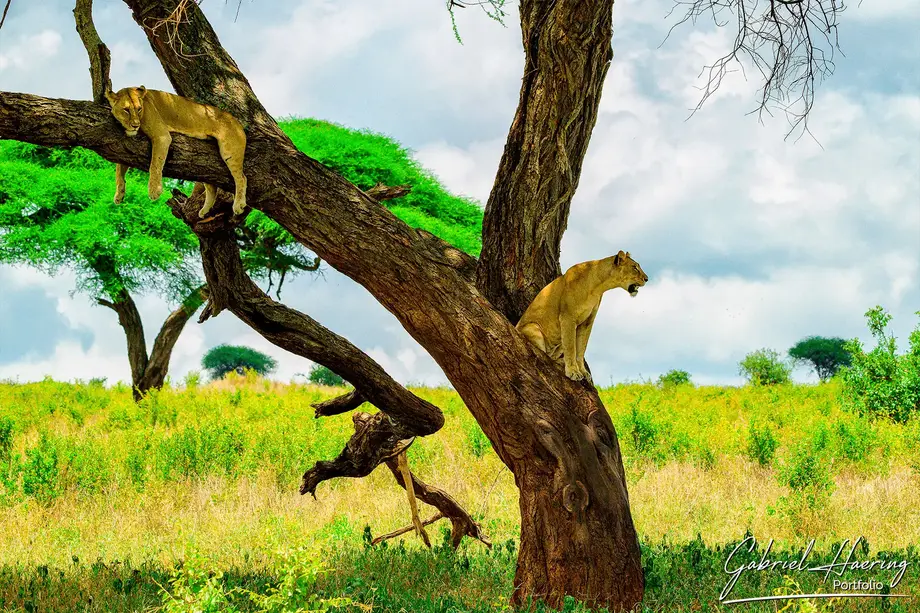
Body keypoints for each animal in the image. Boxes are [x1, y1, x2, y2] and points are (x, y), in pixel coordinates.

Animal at [105, 86, 247, 218]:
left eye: (139, 109)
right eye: (126, 110)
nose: (135, 125)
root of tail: (238, 122)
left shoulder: (162, 136)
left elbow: (155, 164)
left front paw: (154, 191)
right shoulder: (124, 150)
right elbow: (118, 171)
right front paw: (119, 195)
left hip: (230, 152)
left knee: (241, 178)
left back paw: (238, 205)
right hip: (205, 165)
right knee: (212, 187)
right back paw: (204, 211)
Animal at [516, 251, 649, 382]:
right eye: (635, 267)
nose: (646, 279)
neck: (598, 286)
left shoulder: (588, 321)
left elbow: (581, 348)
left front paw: (583, 371)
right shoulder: (567, 318)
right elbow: (571, 347)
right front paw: (573, 372)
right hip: (532, 327)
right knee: (544, 354)